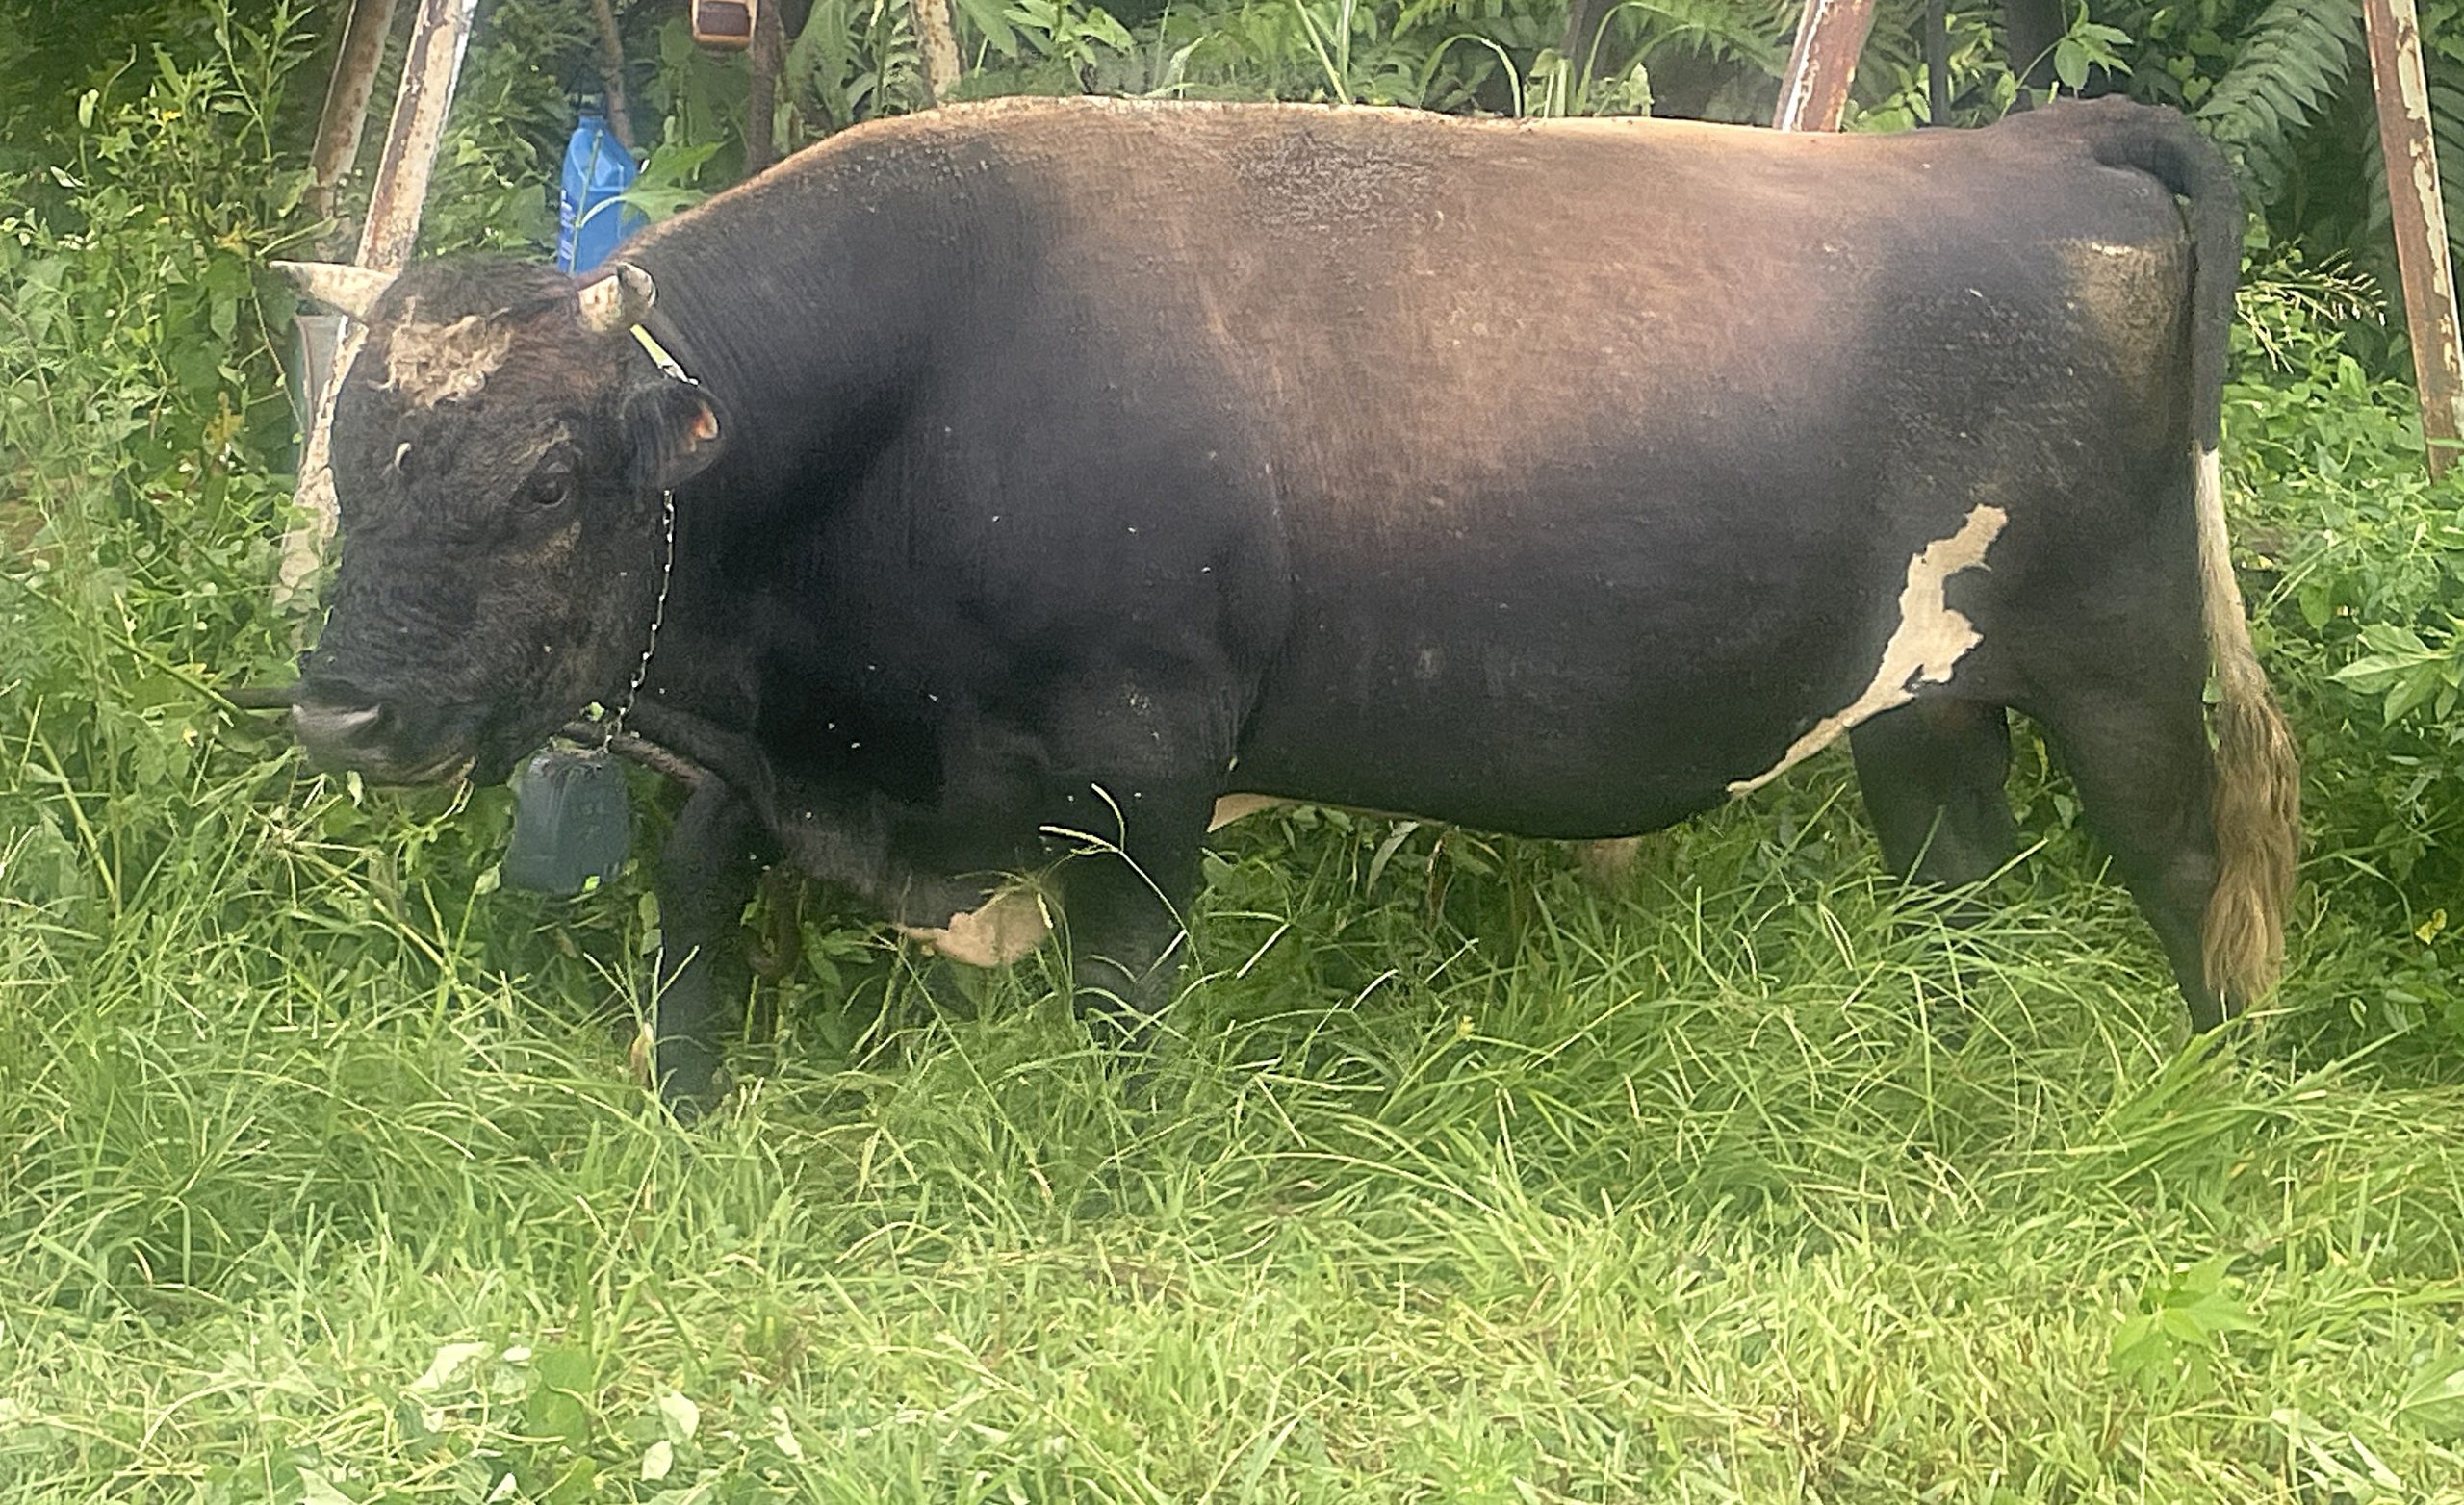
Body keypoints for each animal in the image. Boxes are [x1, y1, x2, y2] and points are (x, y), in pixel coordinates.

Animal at [273, 94, 2298, 1114]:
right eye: (352, 450)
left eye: (547, 479)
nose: (339, 707)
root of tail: (2035, 134)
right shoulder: (749, 729)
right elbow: (693, 904)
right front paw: (687, 1126)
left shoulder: (1146, 741)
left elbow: (1124, 999)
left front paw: (1113, 1184)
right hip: (1923, 692)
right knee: (1958, 891)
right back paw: (1942, 1085)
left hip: (2117, 653)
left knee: (2193, 869)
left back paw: (2220, 1108)